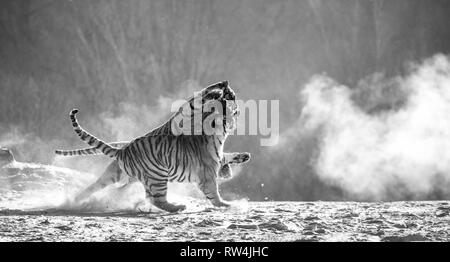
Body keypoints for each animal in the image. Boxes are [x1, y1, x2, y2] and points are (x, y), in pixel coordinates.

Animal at [55, 81, 250, 213]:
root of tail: (122, 151)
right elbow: (214, 193)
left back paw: (77, 201)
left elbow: (227, 156)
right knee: (156, 200)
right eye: (233, 108)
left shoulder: (216, 157)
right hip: (158, 177)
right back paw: (178, 207)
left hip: (119, 176)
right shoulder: (207, 173)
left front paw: (243, 157)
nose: (237, 109)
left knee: (101, 188)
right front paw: (226, 204)